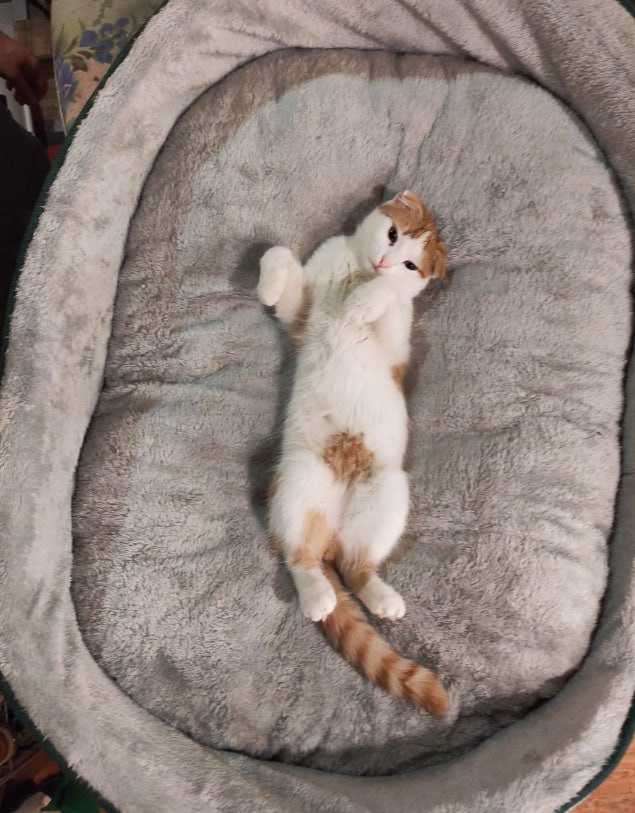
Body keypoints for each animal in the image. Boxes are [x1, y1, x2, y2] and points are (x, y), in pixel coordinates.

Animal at [257, 191, 449, 715]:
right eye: (391, 234)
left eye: (410, 264)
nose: (383, 263)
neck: (357, 273)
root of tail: (332, 531)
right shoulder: (300, 316)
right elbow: (277, 255)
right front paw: (268, 285)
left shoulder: (396, 344)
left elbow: (390, 299)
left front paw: (370, 298)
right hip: (300, 479)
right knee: (301, 556)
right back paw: (317, 594)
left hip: (386, 489)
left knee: (355, 565)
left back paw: (380, 597)